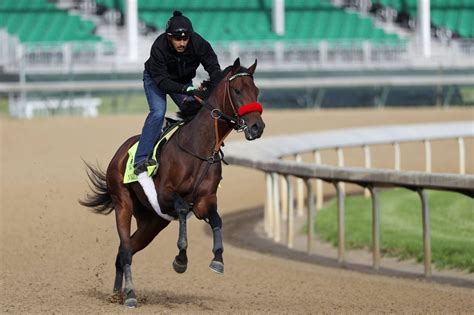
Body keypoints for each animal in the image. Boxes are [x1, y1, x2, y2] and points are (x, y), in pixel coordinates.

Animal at [81, 58, 266, 308]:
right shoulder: (164, 195)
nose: (257, 127)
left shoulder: (204, 201)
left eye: (256, 91)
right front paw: (181, 259)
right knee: (126, 249)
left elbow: (217, 220)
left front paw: (218, 259)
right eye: (237, 91)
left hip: (152, 222)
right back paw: (130, 295)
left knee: (123, 251)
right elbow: (181, 208)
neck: (199, 148)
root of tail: (119, 154)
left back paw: (118, 293)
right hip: (123, 204)